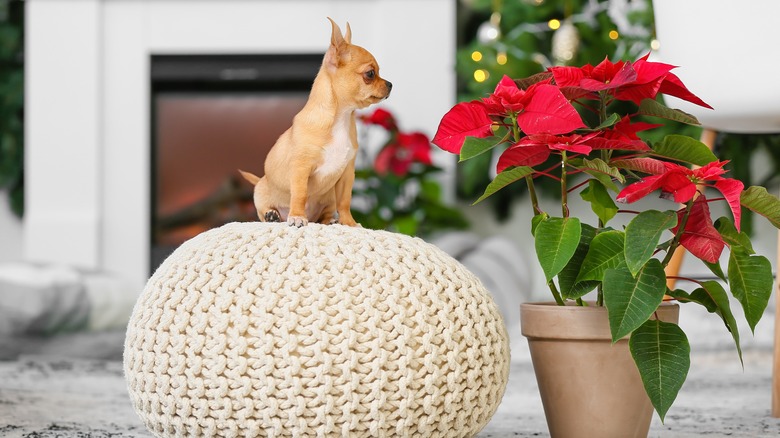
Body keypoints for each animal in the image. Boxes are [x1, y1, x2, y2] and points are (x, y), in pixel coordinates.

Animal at [239, 18, 390, 228]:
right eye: (370, 74)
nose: (390, 84)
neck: (341, 118)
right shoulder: (301, 169)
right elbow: (300, 194)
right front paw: (297, 216)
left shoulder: (347, 174)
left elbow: (345, 201)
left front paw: (349, 223)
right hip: (260, 194)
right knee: (264, 213)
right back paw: (273, 216)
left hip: (329, 197)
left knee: (325, 214)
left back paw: (331, 220)